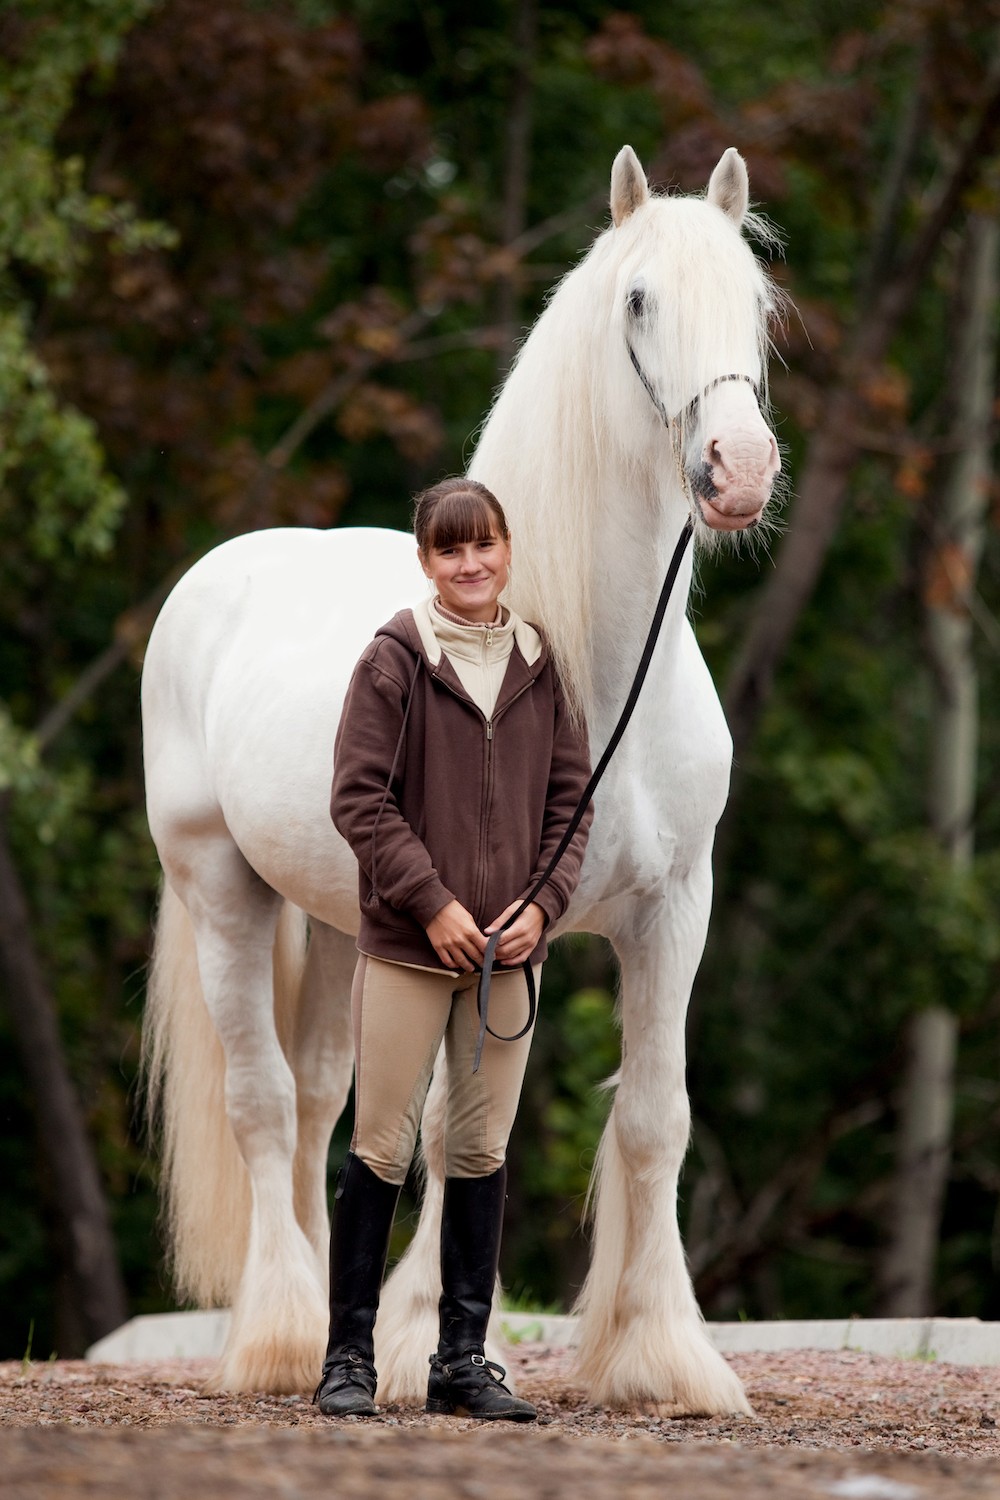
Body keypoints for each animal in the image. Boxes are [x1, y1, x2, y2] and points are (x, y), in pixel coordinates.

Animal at [140, 146, 779, 1410]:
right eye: (640, 302)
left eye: (755, 305)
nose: (737, 470)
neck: (591, 670)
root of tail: (215, 578)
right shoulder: (475, 927)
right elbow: (446, 1125)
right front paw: (412, 1343)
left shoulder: (671, 912)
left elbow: (652, 1119)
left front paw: (662, 1356)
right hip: (220, 889)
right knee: (262, 1100)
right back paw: (282, 1334)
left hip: (344, 927)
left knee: (321, 1101)